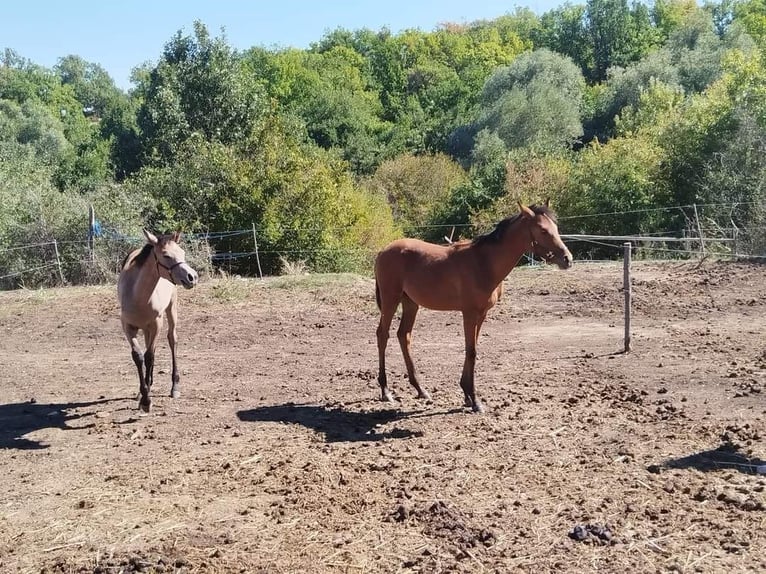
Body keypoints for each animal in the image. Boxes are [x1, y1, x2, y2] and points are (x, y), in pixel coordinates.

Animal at [118, 232, 200, 412]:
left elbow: (149, 356)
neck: (138, 295)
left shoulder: (157, 324)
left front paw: (147, 400)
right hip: (145, 327)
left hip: (171, 309)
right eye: (166, 255)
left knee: (172, 340)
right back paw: (147, 385)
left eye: (182, 253)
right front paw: (143, 394)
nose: (192, 277)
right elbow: (138, 356)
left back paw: (174, 386)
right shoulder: (128, 327)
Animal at [376, 202, 572, 414]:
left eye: (556, 228)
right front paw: (475, 400)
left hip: (411, 303)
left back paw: (421, 390)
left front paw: (467, 396)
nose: (567, 259)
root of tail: (383, 251)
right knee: (383, 335)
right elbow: (471, 352)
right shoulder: (469, 313)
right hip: (391, 300)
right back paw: (386, 391)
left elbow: (473, 348)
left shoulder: (482, 313)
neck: (484, 263)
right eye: (543, 230)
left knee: (404, 335)